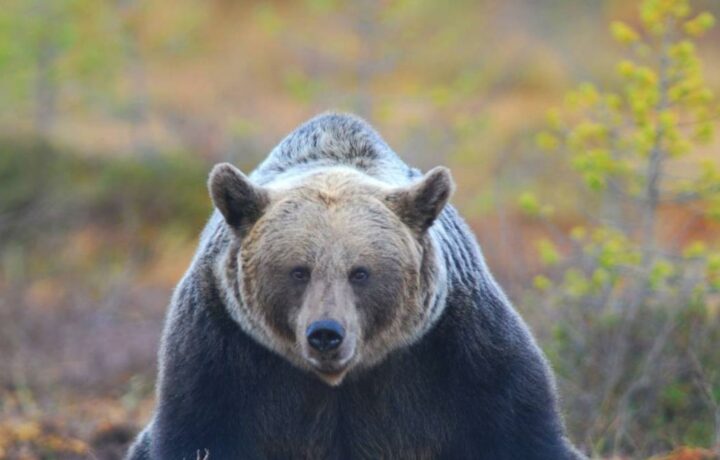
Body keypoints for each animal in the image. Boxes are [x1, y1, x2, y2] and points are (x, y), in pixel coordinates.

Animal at [127, 113, 583, 459]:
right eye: (298, 270)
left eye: (360, 272)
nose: (326, 334)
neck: (341, 381)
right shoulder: (221, 351)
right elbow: (198, 432)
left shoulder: (456, 349)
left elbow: (519, 427)